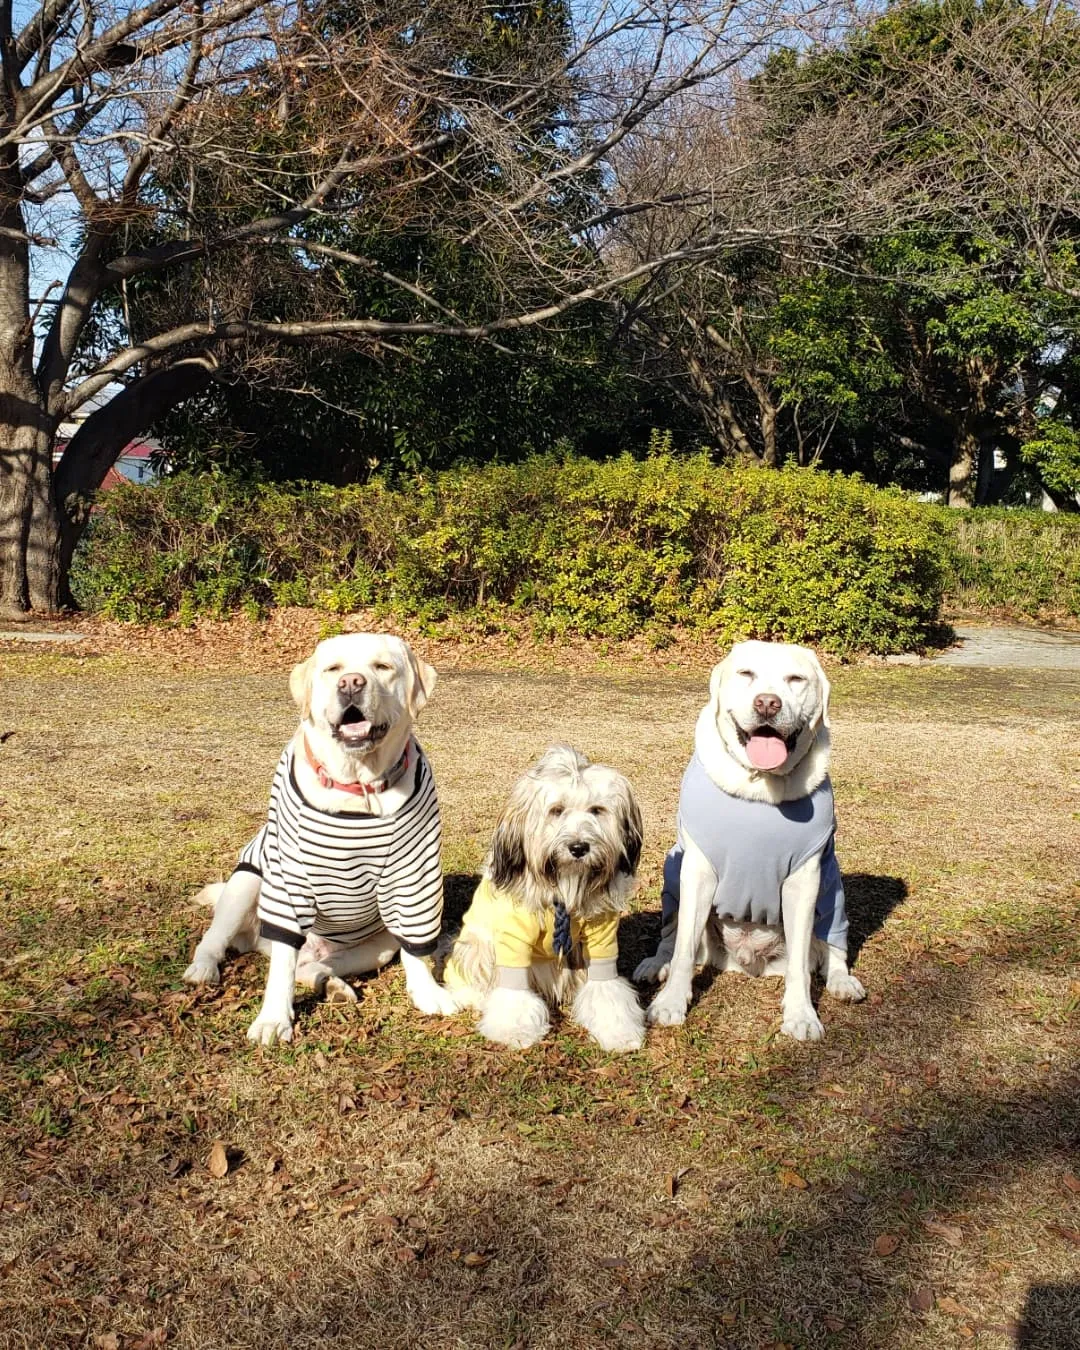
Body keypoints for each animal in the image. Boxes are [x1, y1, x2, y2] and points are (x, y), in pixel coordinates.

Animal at [442, 750, 645, 1053]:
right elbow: (512, 991)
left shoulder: (602, 938)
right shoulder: (513, 938)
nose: (578, 847)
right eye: (556, 810)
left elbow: (607, 988)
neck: (565, 884)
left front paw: (619, 1032)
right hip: (478, 945)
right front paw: (514, 1030)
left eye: (597, 810)